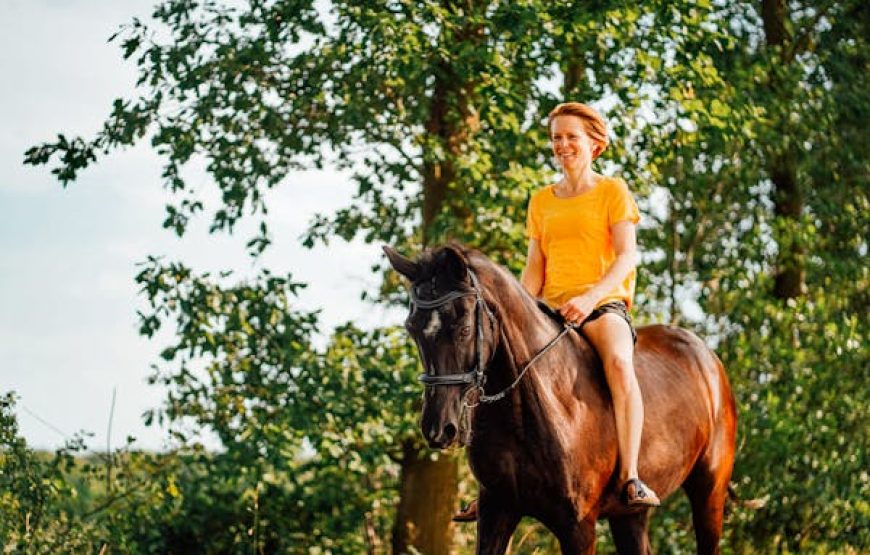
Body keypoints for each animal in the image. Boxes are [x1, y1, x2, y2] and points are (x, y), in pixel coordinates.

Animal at [384, 243, 738, 555]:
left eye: (464, 328)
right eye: (412, 328)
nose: (438, 429)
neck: (528, 410)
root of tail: (707, 358)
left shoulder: (578, 527)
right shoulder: (497, 511)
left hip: (709, 493)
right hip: (630, 515)